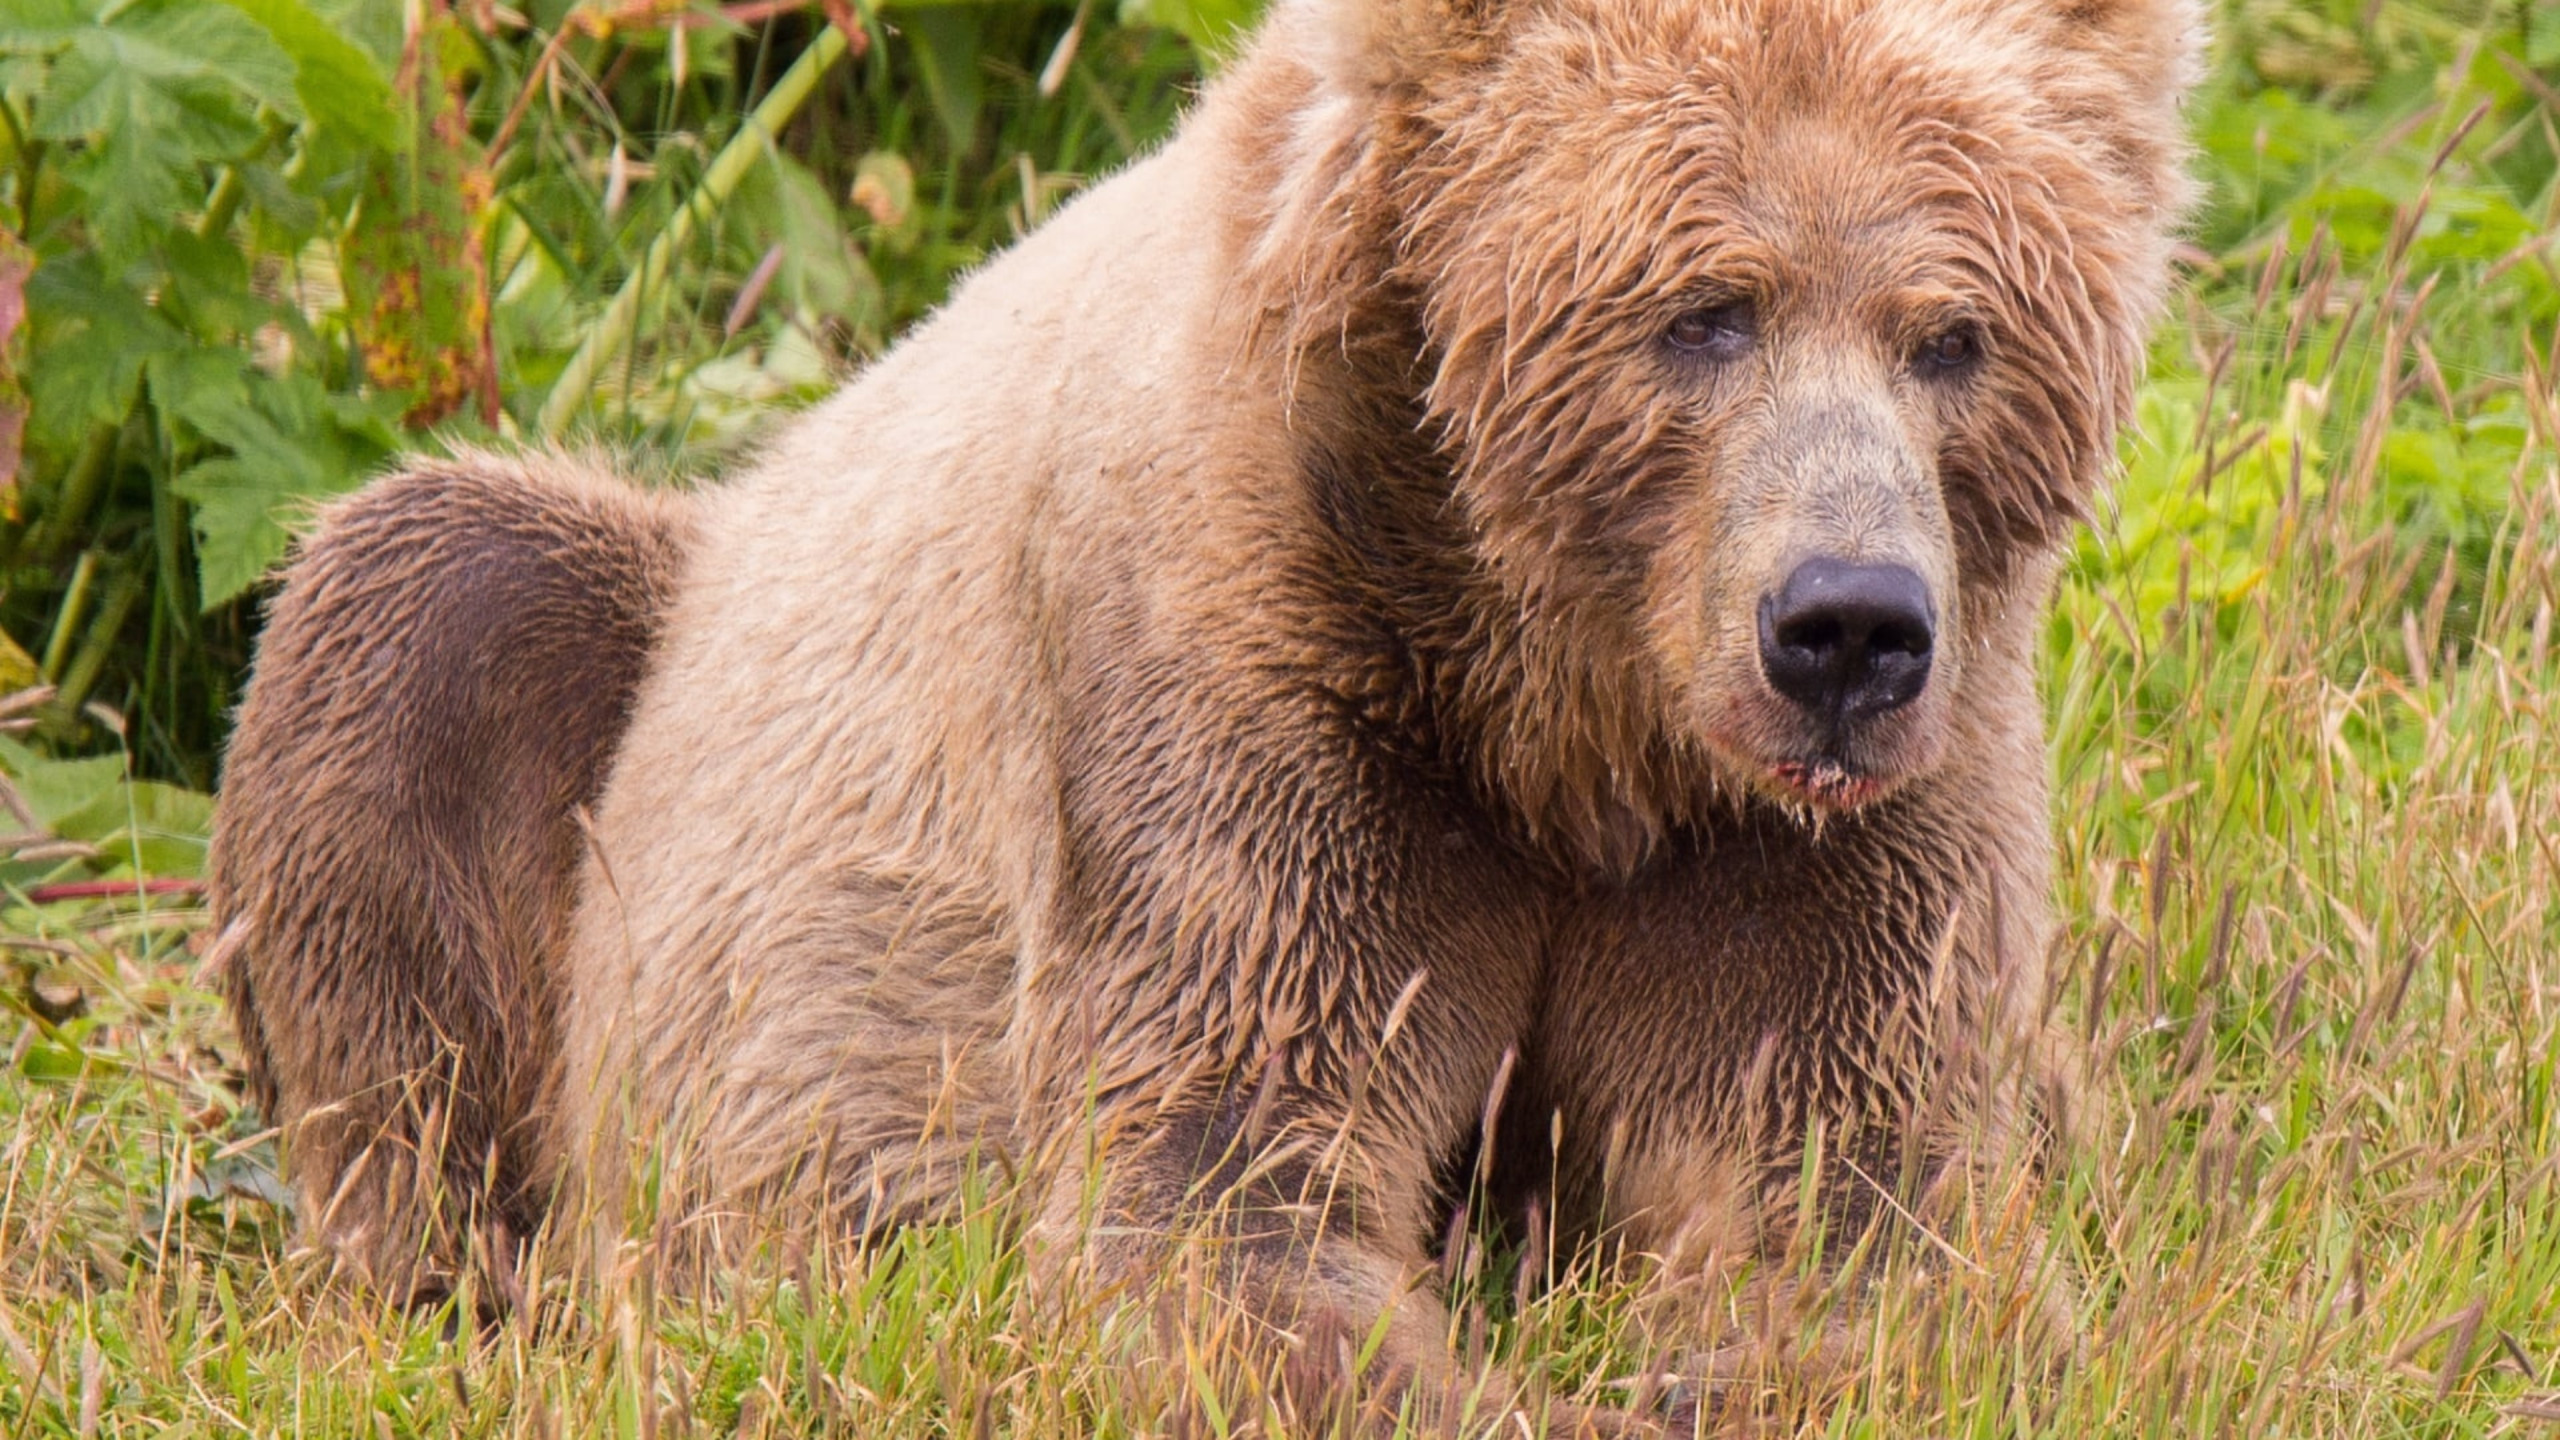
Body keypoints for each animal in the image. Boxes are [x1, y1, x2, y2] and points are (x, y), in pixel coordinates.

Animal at [204, 0, 2201, 1424]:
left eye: (1954, 334)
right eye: (1704, 312)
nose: (1846, 628)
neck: (1560, 719)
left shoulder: (1819, 843)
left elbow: (1864, 1202)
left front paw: (1720, 1362)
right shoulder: (1250, 696)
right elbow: (1218, 1207)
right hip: (625, 695)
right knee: (418, 614)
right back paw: (481, 1287)